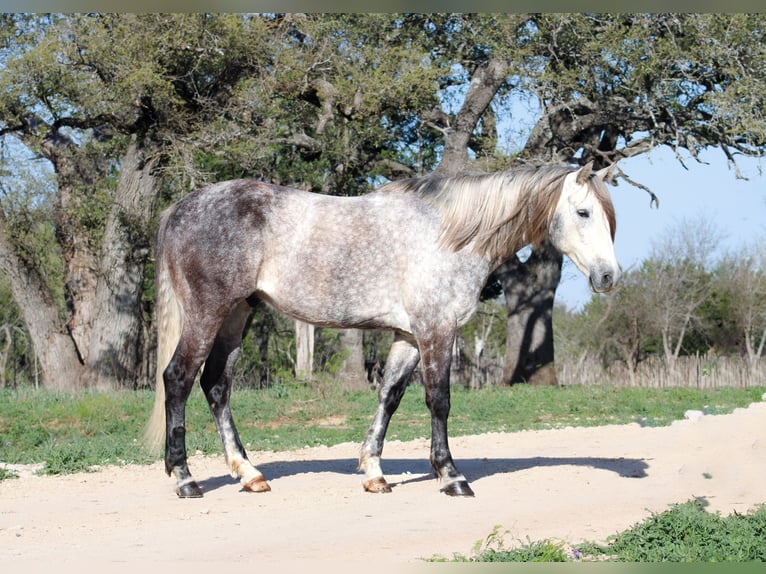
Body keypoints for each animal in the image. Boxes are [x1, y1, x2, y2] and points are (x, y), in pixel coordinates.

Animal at [144, 161, 619, 498]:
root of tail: (179, 208)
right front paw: (451, 476)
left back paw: (249, 474)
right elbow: (439, 401)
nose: (608, 277)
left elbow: (389, 398)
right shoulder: (436, 330)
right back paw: (185, 479)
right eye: (583, 212)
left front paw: (374, 473)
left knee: (216, 386)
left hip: (237, 316)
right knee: (179, 379)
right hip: (208, 314)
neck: (448, 235)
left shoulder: (408, 336)